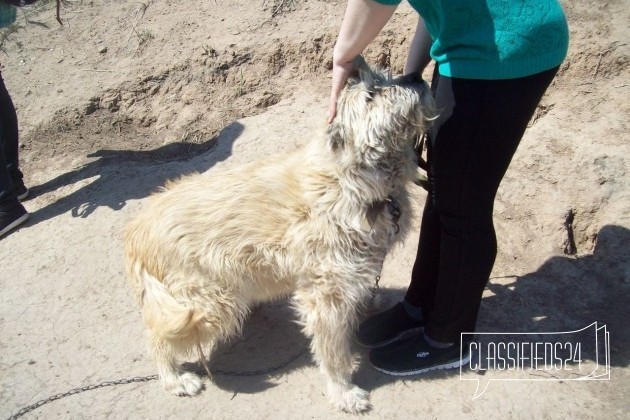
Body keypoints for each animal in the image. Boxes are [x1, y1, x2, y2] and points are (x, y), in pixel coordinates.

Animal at [126, 60, 436, 414]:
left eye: (386, 76)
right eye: (371, 95)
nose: (415, 76)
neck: (348, 180)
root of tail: (136, 231)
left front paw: (370, 302)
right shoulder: (325, 297)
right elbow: (333, 352)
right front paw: (343, 392)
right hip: (208, 304)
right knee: (156, 338)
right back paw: (174, 378)